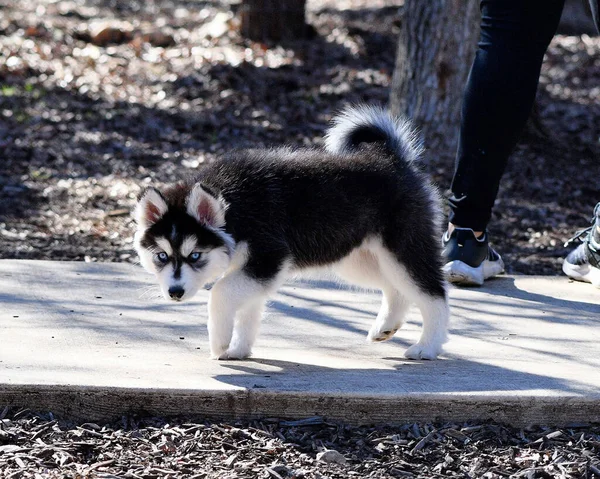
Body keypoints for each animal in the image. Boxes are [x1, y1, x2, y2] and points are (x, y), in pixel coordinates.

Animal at [134, 106, 448, 360]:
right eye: (161, 256)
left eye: (195, 255)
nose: (175, 292)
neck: (233, 207)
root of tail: (391, 158)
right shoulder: (253, 272)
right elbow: (248, 311)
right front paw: (239, 350)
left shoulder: (268, 258)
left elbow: (221, 292)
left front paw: (220, 342)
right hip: (358, 259)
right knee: (397, 289)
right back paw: (386, 327)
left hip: (403, 249)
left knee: (433, 294)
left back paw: (427, 347)